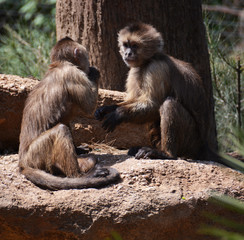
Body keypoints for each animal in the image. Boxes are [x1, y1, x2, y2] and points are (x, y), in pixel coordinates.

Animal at [18, 36, 119, 189]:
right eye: (86, 57)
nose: (88, 63)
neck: (59, 65)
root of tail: (22, 163)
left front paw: (78, 150)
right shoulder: (73, 73)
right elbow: (89, 107)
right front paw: (93, 72)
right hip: (35, 154)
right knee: (61, 128)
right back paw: (80, 176)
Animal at [94, 23, 213, 161]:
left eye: (135, 46)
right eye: (126, 45)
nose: (128, 53)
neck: (148, 61)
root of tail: (203, 146)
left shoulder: (156, 68)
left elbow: (154, 104)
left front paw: (118, 114)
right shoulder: (134, 70)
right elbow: (134, 100)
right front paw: (108, 109)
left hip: (192, 142)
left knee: (168, 104)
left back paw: (166, 154)